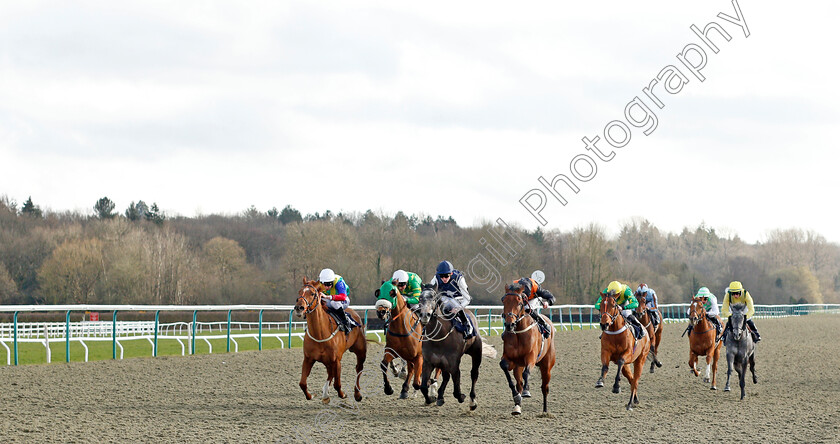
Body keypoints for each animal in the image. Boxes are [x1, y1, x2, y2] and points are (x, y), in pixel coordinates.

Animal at [498, 282, 556, 414]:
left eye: (520, 302)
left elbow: (526, 373)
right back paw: (517, 407)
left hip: (547, 366)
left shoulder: (531, 357)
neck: (519, 333)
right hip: (518, 367)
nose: (509, 324)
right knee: (519, 383)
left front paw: (526, 391)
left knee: (544, 387)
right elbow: (504, 368)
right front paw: (516, 396)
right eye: (504, 301)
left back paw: (545, 411)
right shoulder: (511, 359)